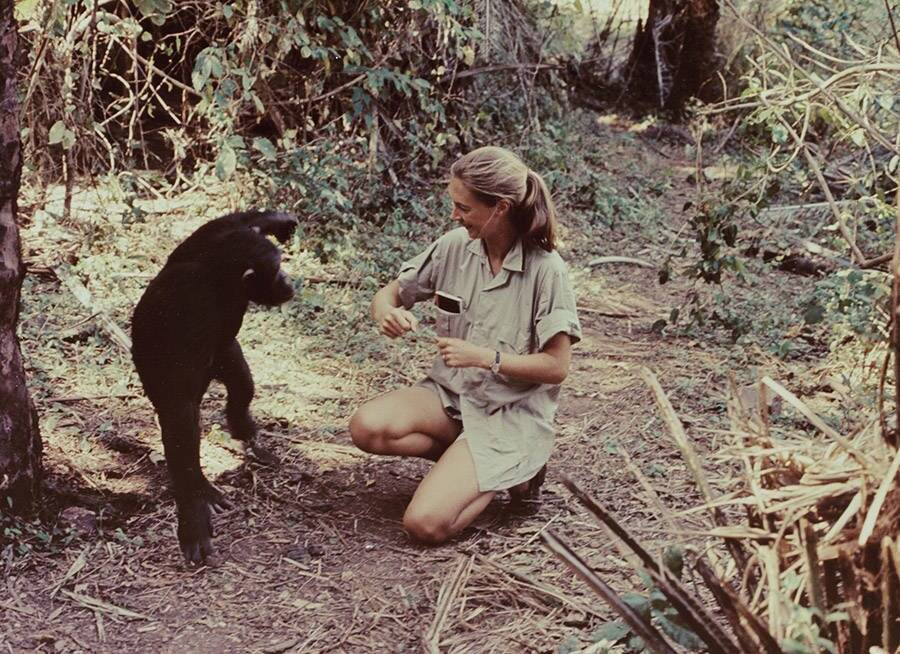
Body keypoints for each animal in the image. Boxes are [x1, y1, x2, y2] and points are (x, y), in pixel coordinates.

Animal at [132, 210, 298, 564]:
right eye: (277, 270)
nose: (289, 280)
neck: (220, 279)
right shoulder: (190, 310)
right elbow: (179, 413)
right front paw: (192, 517)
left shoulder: (205, 242)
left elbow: (220, 224)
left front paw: (278, 220)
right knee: (185, 418)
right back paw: (202, 486)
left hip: (224, 356)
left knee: (240, 381)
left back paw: (242, 425)